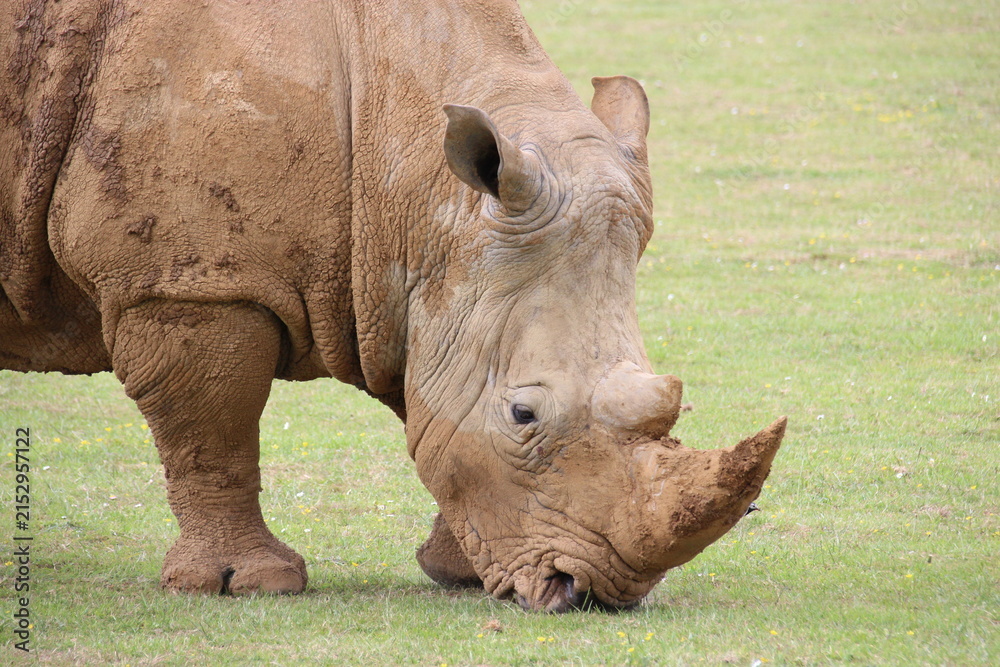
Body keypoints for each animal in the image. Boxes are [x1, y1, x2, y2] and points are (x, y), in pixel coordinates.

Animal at [1, 0, 786, 611]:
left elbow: (428, 411)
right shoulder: (187, 280)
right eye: (522, 414)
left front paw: (459, 572)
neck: (415, 182)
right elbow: (210, 427)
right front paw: (240, 584)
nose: (595, 592)